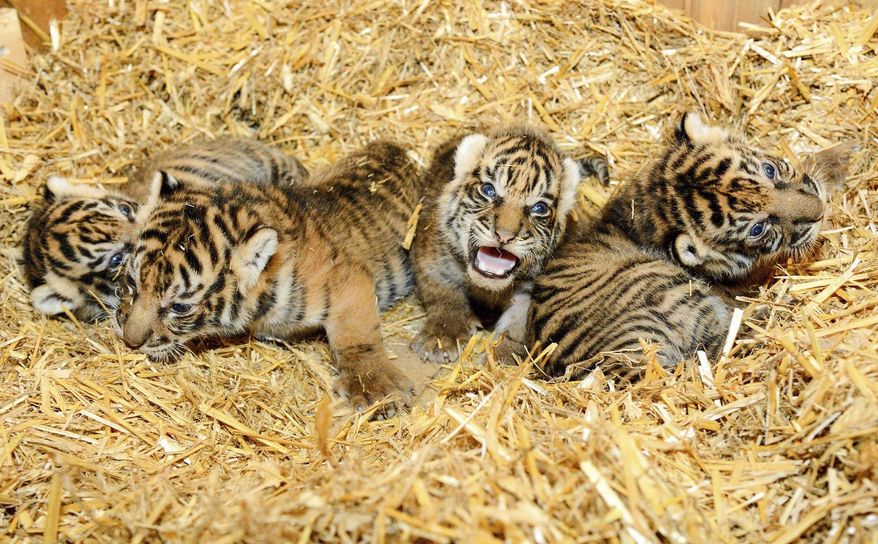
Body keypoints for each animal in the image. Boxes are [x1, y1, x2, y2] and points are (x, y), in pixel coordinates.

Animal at [115, 140, 421, 411]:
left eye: (180, 307)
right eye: (131, 283)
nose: (130, 342)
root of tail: (393, 146)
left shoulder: (348, 282)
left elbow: (357, 334)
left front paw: (375, 387)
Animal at [410, 124, 607, 362]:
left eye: (539, 208)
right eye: (489, 190)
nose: (504, 236)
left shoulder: (533, 290)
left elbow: (520, 322)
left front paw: (503, 355)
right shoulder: (433, 258)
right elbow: (443, 293)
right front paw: (441, 337)